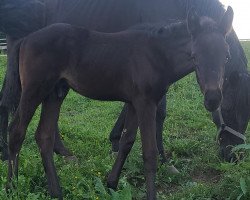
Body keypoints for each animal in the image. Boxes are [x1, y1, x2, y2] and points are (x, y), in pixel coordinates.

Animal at [8, 7, 234, 200]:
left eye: (226, 56)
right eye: (194, 56)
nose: (213, 99)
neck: (156, 54)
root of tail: (26, 39)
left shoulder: (134, 103)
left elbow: (127, 142)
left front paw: (111, 184)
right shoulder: (146, 103)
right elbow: (149, 153)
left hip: (55, 93)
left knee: (44, 136)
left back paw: (56, 192)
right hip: (34, 90)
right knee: (17, 130)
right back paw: (13, 186)